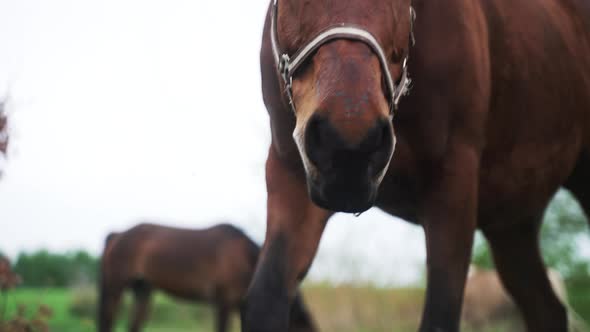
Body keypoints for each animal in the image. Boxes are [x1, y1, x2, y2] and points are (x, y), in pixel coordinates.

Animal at [242, 0, 590, 332]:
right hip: (512, 224)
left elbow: (439, 319)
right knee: (547, 310)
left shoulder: (453, 184)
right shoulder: (292, 178)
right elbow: (264, 302)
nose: (347, 143)